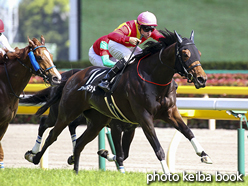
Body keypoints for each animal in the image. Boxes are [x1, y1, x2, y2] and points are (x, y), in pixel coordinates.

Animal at [27, 29, 213, 174]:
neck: (153, 78)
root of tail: (71, 77)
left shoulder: (167, 113)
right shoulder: (142, 117)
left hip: (97, 121)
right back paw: (33, 156)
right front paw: (166, 173)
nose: (202, 79)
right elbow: (156, 148)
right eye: (185, 54)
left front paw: (204, 155)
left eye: (199, 53)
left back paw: (76, 171)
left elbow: (187, 131)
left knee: (79, 142)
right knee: (51, 132)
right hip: (66, 112)